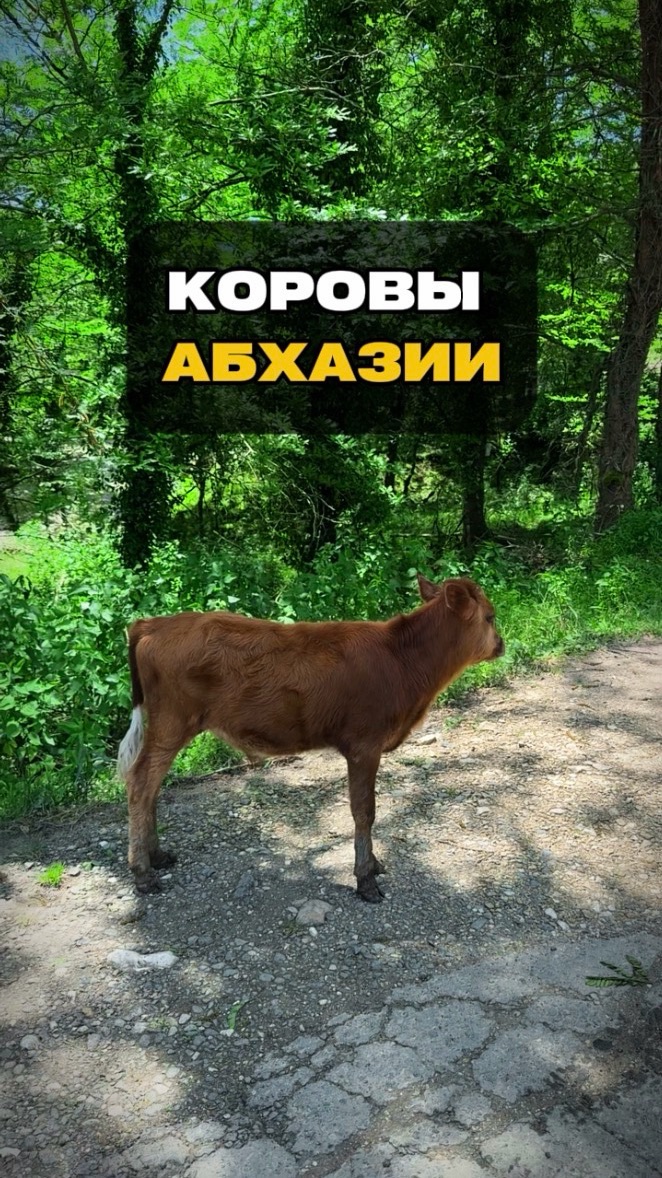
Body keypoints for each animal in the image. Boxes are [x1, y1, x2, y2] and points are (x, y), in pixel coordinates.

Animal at [117, 575, 504, 901]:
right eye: (490, 617)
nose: (501, 644)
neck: (401, 660)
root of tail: (152, 623)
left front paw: (374, 865)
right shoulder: (364, 744)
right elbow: (364, 811)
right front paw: (366, 879)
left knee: (151, 786)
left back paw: (157, 855)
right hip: (172, 720)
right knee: (140, 782)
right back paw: (142, 872)